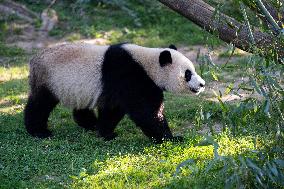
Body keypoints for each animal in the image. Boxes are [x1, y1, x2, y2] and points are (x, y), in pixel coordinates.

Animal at [24, 42, 205, 143]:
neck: (148, 63)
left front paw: (105, 132)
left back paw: (90, 123)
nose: (202, 84)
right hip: (49, 79)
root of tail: (33, 60)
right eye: (188, 74)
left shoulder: (117, 87)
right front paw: (172, 138)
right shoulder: (129, 75)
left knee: (81, 104)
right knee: (40, 104)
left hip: (76, 87)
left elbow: (113, 110)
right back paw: (39, 131)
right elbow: (147, 113)